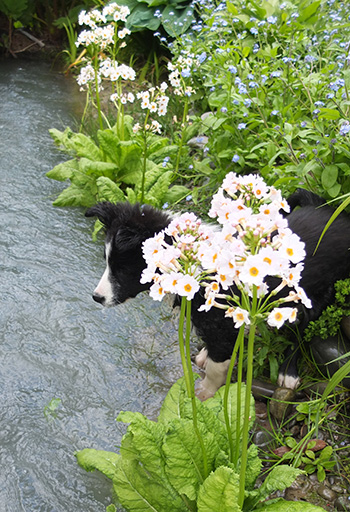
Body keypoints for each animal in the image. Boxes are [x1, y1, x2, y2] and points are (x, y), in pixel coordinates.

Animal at [85, 190, 350, 398]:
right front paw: (203, 357)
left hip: (316, 293)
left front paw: (202, 395)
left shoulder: (222, 326)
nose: (96, 297)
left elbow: (216, 368)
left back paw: (288, 372)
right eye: (106, 262)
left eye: (123, 269)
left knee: (302, 329)